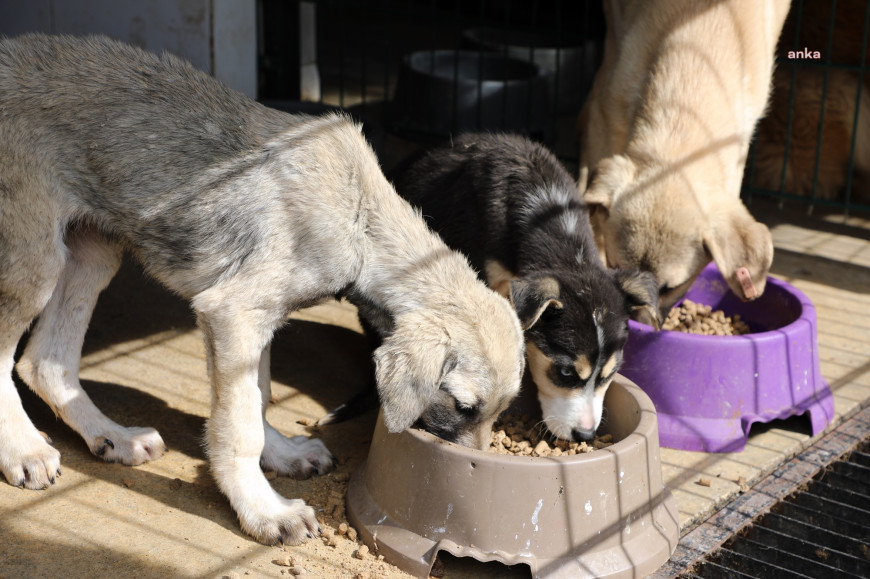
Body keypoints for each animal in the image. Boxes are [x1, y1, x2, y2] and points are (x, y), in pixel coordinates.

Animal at [0, 35, 524, 544]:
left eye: (500, 412)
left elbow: (259, 394)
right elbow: (241, 426)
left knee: (45, 362)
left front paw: (281, 455)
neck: (360, 218)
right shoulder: (232, 314)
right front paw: (264, 509)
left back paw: (113, 436)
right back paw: (24, 449)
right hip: (34, 261)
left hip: (92, 252)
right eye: (463, 406)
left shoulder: (261, 320)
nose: (473, 473)